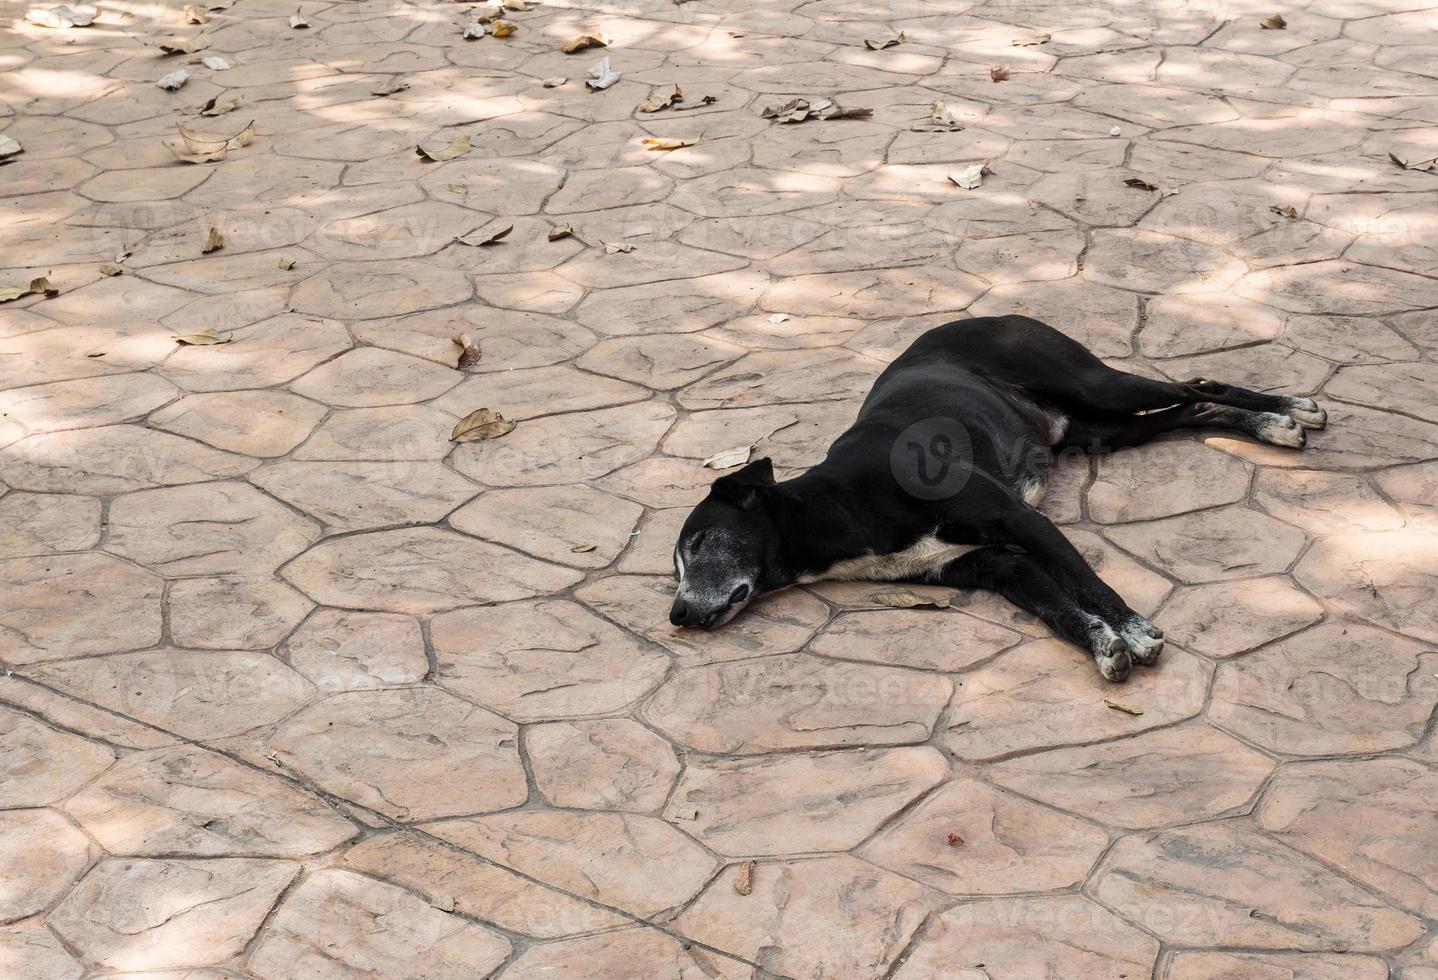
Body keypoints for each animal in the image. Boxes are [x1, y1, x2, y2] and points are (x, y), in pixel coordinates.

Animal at [672, 314, 1322, 678]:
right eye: (673, 567)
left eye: (700, 541)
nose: (676, 616)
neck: (840, 506)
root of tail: (993, 312)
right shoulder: (995, 567)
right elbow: (1059, 608)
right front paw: (1103, 646)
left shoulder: (1020, 520)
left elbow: (1090, 584)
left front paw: (1134, 631)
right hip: (1103, 430)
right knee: (1193, 410)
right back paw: (1267, 424)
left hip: (1096, 385)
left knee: (1200, 384)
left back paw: (1289, 410)